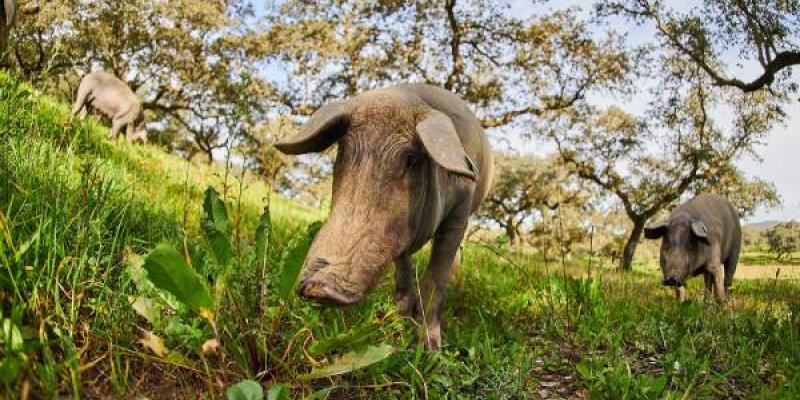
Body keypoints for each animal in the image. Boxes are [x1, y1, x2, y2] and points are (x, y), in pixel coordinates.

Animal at [274, 83, 494, 350]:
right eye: (343, 150)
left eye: (411, 158)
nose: (319, 288)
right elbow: (402, 265)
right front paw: (400, 315)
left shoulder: (459, 211)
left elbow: (437, 276)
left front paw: (428, 349)